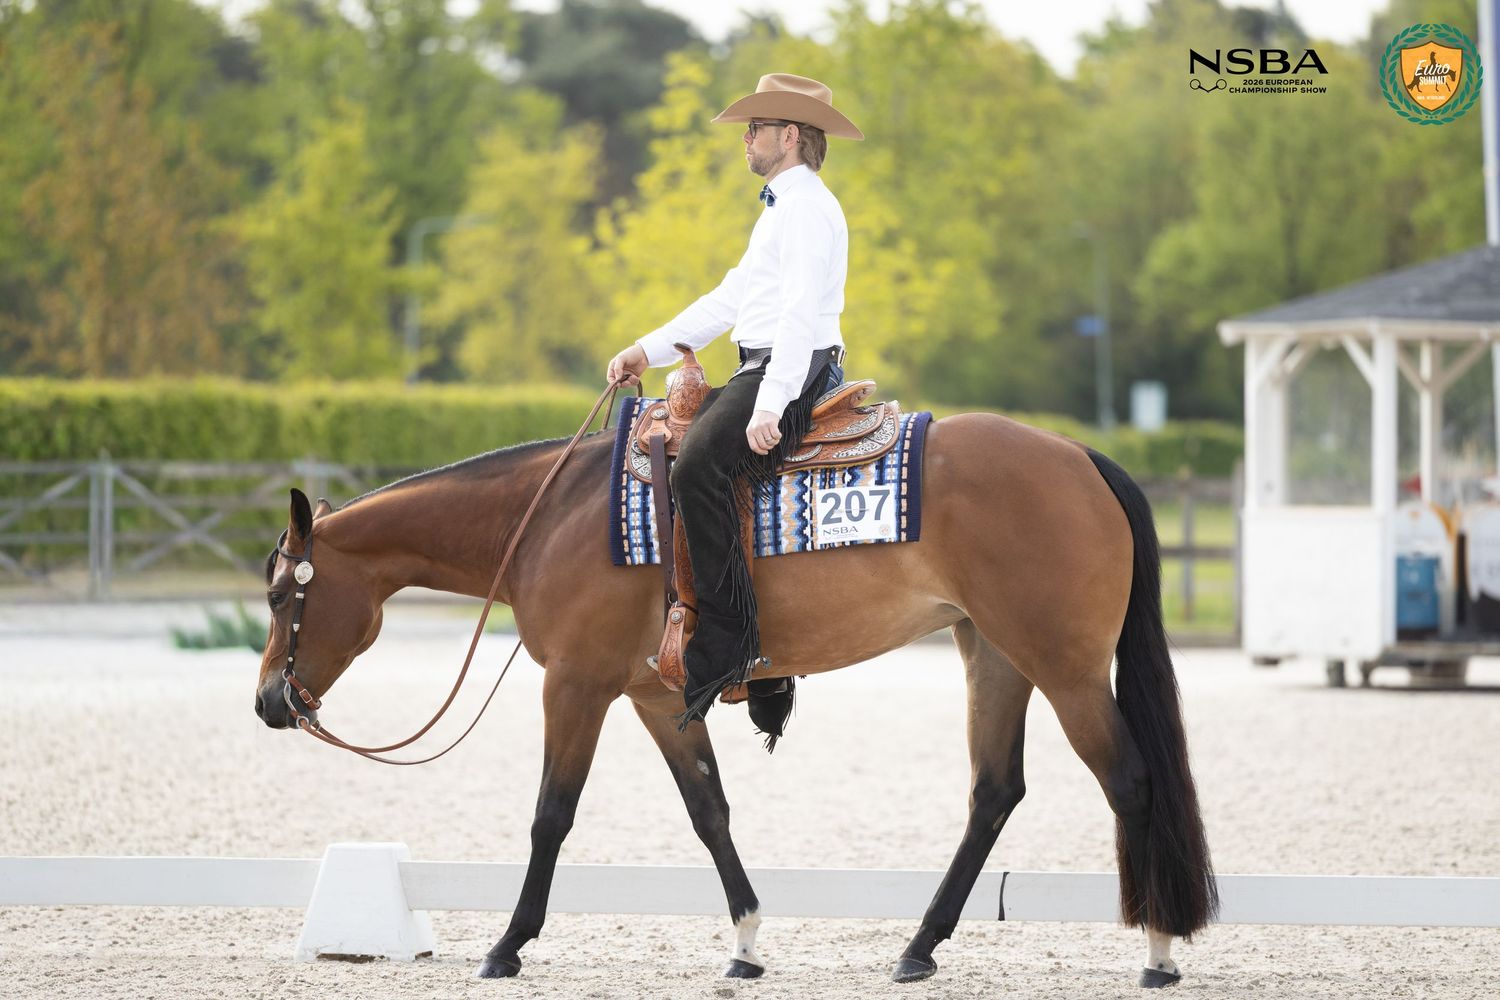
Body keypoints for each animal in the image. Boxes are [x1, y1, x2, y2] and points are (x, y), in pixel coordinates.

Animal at [252, 407, 1218, 988]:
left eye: (279, 595)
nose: (268, 702)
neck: (549, 517)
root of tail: (1081, 457)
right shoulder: (653, 697)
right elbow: (708, 811)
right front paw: (747, 943)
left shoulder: (577, 685)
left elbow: (551, 815)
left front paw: (506, 946)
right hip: (995, 654)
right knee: (995, 792)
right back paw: (918, 948)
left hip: (1065, 667)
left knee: (1129, 782)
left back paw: (1159, 951)